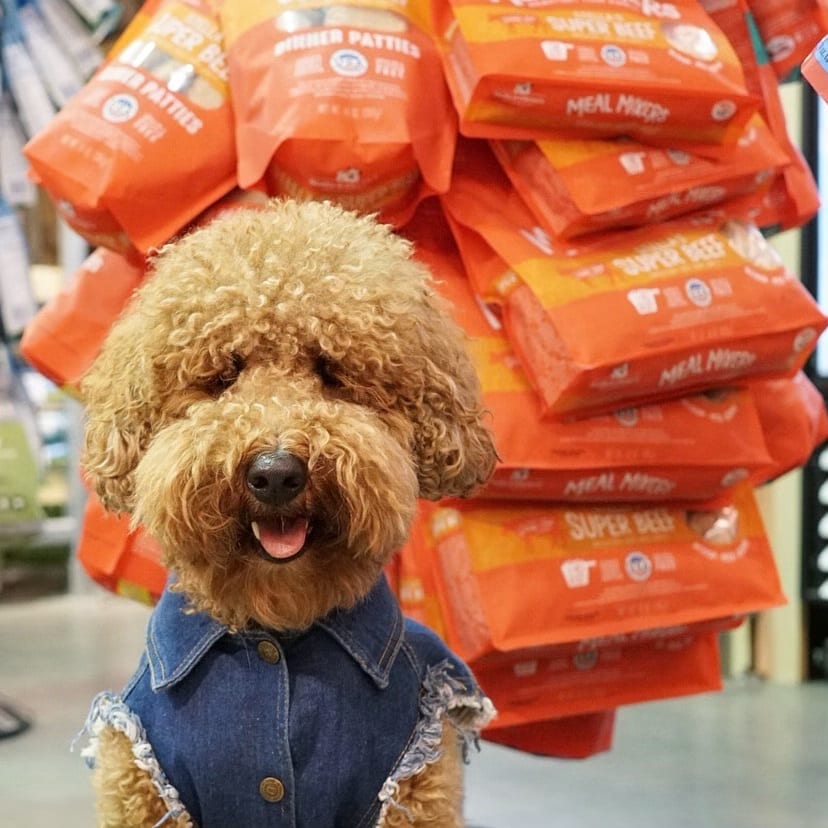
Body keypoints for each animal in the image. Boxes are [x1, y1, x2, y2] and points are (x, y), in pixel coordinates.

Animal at [81, 201, 498, 828]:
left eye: (330, 371)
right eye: (224, 375)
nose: (275, 473)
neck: (275, 626)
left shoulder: (415, 785)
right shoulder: (142, 780)